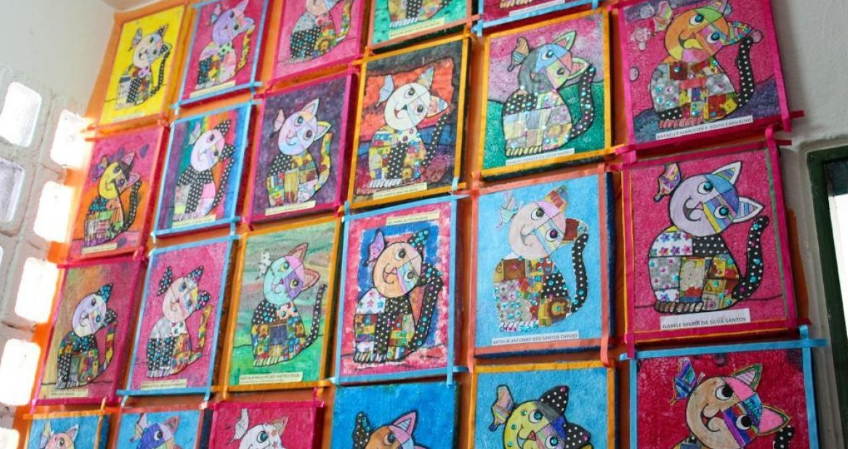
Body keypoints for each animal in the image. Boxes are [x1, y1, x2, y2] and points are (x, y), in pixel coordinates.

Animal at [353, 228, 443, 364]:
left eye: (410, 276)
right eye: (401, 254)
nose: (393, 271)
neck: (381, 295)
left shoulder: (387, 316)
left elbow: (381, 334)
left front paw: (378, 355)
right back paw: (363, 356)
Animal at [493, 186, 590, 332]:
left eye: (553, 234)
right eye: (538, 213)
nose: (530, 232)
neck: (519, 256)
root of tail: (568, 310)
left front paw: (517, 324)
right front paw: (507, 325)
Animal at [649, 0, 760, 130]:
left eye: (714, 37)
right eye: (698, 19)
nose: (692, 36)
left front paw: (685, 119)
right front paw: (669, 121)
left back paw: (691, 120)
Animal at [649, 162, 768, 314]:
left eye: (722, 211)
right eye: (707, 187)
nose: (701, 205)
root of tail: (735, 292)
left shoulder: (706, 262)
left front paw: (689, 305)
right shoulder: (661, 269)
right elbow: (667, 287)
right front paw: (666, 304)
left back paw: (697, 306)